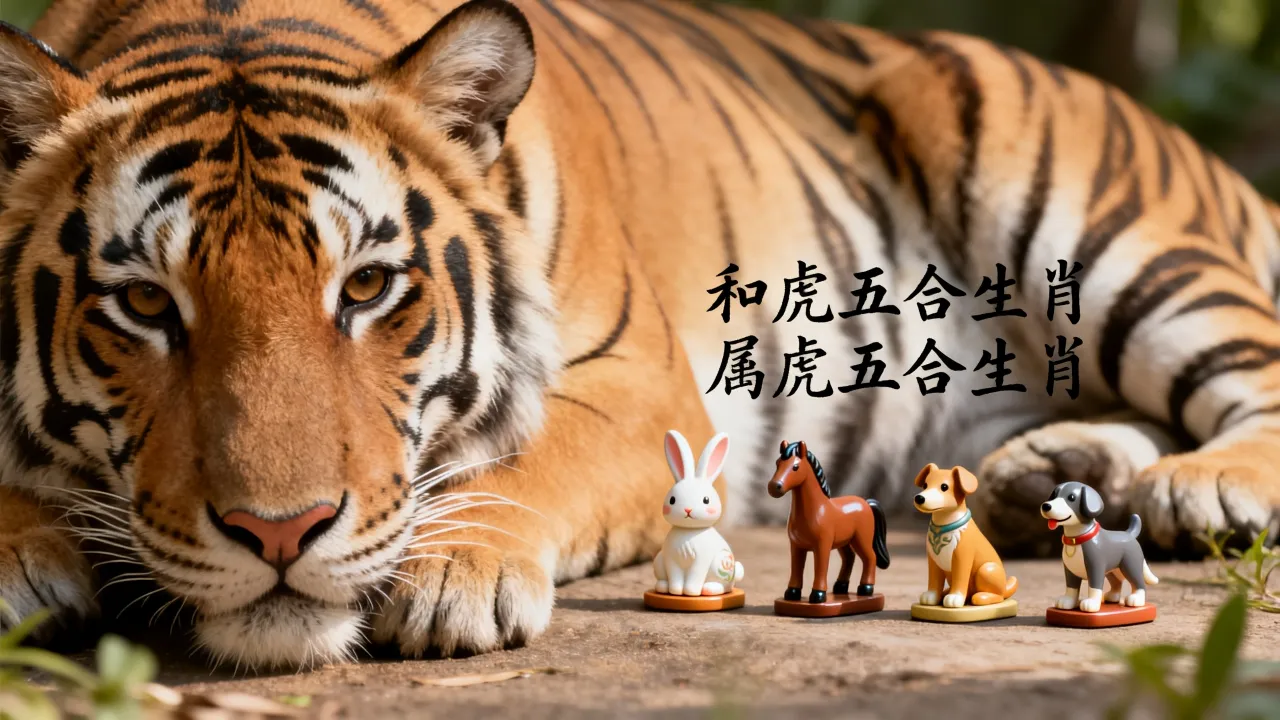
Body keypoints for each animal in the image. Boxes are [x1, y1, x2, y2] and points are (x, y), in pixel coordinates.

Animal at [1, 0, 1278, 670]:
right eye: (146, 305)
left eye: (364, 287)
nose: (280, 534)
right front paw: (22, 553)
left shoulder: (643, 383)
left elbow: (533, 457)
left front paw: (453, 573)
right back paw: (1040, 482)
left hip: (1093, 223)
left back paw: (1201, 490)